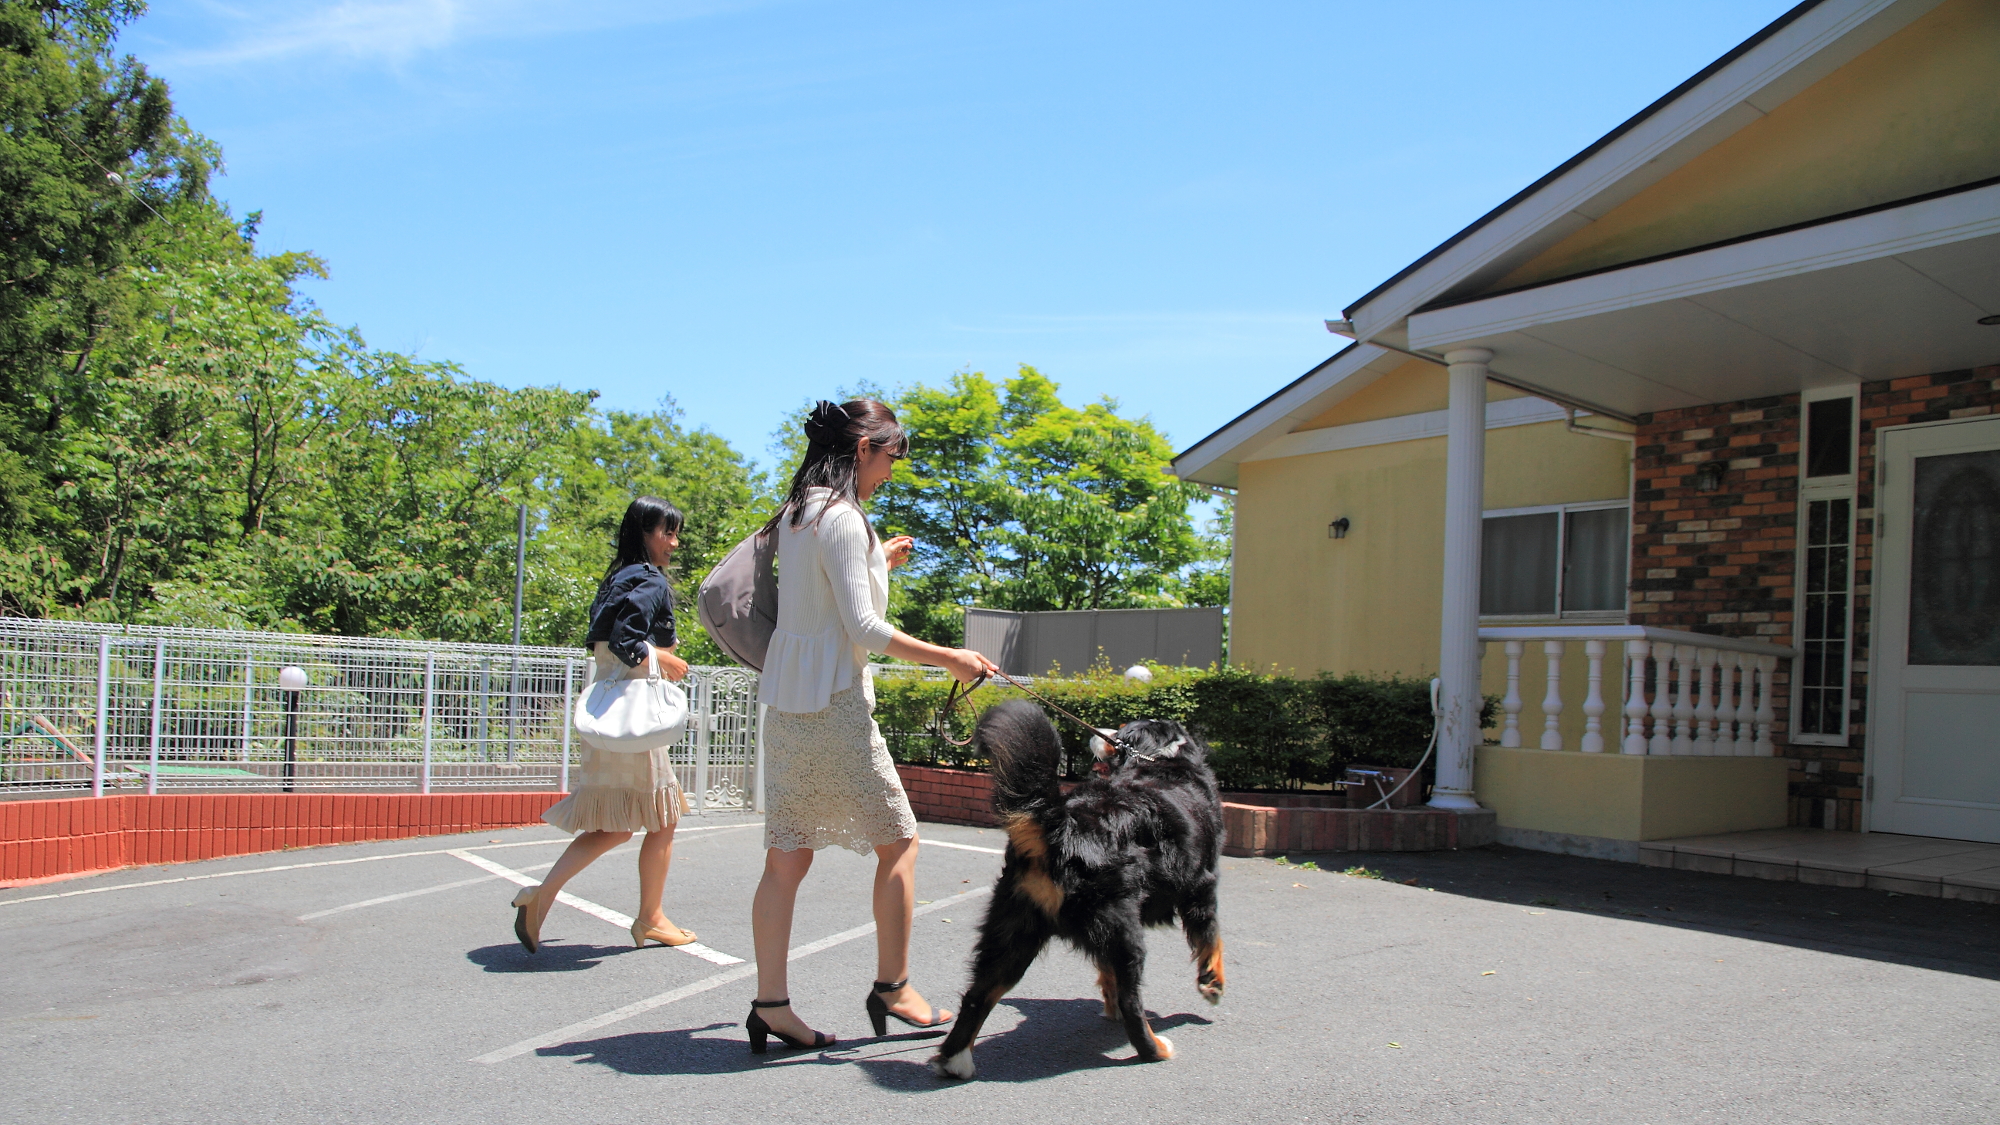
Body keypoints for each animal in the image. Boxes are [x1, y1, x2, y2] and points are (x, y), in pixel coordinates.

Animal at [928, 692, 1224, 1080]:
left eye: (1121, 731)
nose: (1098, 734)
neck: (1162, 761)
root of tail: (1062, 825)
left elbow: (1106, 971)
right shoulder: (1202, 885)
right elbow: (1211, 940)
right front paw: (1212, 984)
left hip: (1014, 927)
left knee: (979, 993)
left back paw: (955, 1059)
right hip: (1121, 925)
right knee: (1132, 998)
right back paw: (1155, 1049)